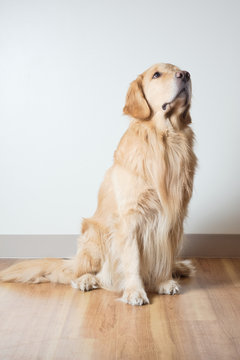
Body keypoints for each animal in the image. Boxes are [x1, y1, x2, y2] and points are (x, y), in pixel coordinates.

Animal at [0, 63, 197, 306]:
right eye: (157, 75)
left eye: (180, 69)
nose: (185, 75)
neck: (165, 142)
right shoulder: (130, 218)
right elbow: (132, 260)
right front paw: (135, 291)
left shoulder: (172, 218)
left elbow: (166, 256)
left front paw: (163, 281)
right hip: (94, 237)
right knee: (73, 274)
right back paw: (87, 280)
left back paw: (179, 268)